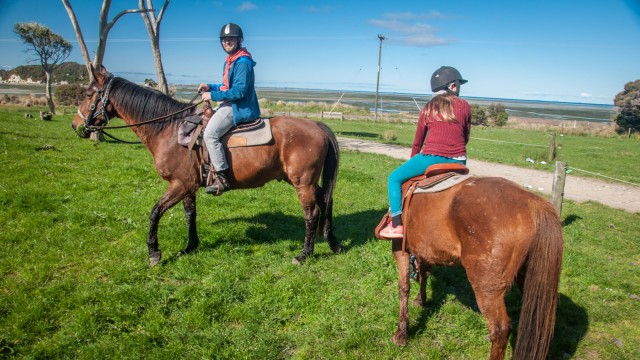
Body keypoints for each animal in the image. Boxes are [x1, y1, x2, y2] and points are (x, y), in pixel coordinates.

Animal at [72, 66, 342, 266]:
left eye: (88, 94)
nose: (76, 125)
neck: (169, 131)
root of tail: (318, 126)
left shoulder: (179, 184)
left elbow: (155, 212)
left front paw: (154, 252)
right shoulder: (187, 186)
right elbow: (190, 215)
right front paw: (190, 247)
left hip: (302, 182)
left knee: (311, 212)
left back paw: (304, 254)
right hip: (303, 181)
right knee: (325, 200)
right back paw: (333, 243)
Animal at [388, 177, 564, 360]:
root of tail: (535, 204)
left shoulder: (399, 248)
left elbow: (404, 288)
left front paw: (401, 334)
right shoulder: (425, 250)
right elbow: (424, 273)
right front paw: (420, 300)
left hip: (487, 289)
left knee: (500, 329)